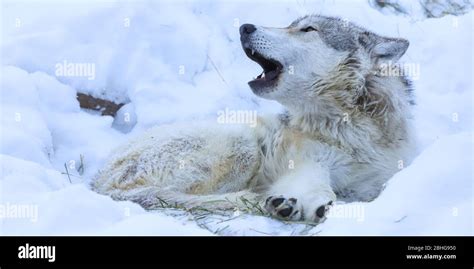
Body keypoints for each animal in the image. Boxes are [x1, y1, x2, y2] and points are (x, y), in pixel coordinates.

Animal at [91, 15, 414, 223]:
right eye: (293, 25)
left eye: (307, 29)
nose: (245, 27)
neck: (348, 126)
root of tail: (99, 183)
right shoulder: (308, 164)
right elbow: (322, 187)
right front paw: (319, 206)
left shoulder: (376, 183)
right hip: (242, 146)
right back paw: (276, 203)